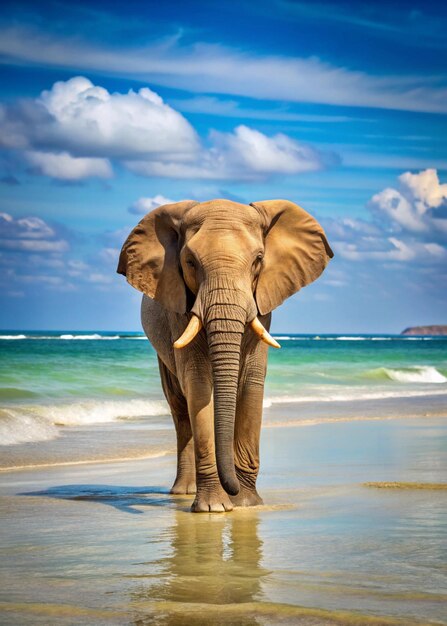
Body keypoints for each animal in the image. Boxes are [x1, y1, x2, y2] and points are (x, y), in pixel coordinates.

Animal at [117, 197, 334, 510]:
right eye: (190, 262)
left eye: (258, 260)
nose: (231, 490)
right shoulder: (179, 309)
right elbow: (197, 384)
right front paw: (214, 508)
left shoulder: (262, 302)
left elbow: (251, 381)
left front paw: (246, 504)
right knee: (180, 407)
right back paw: (184, 491)